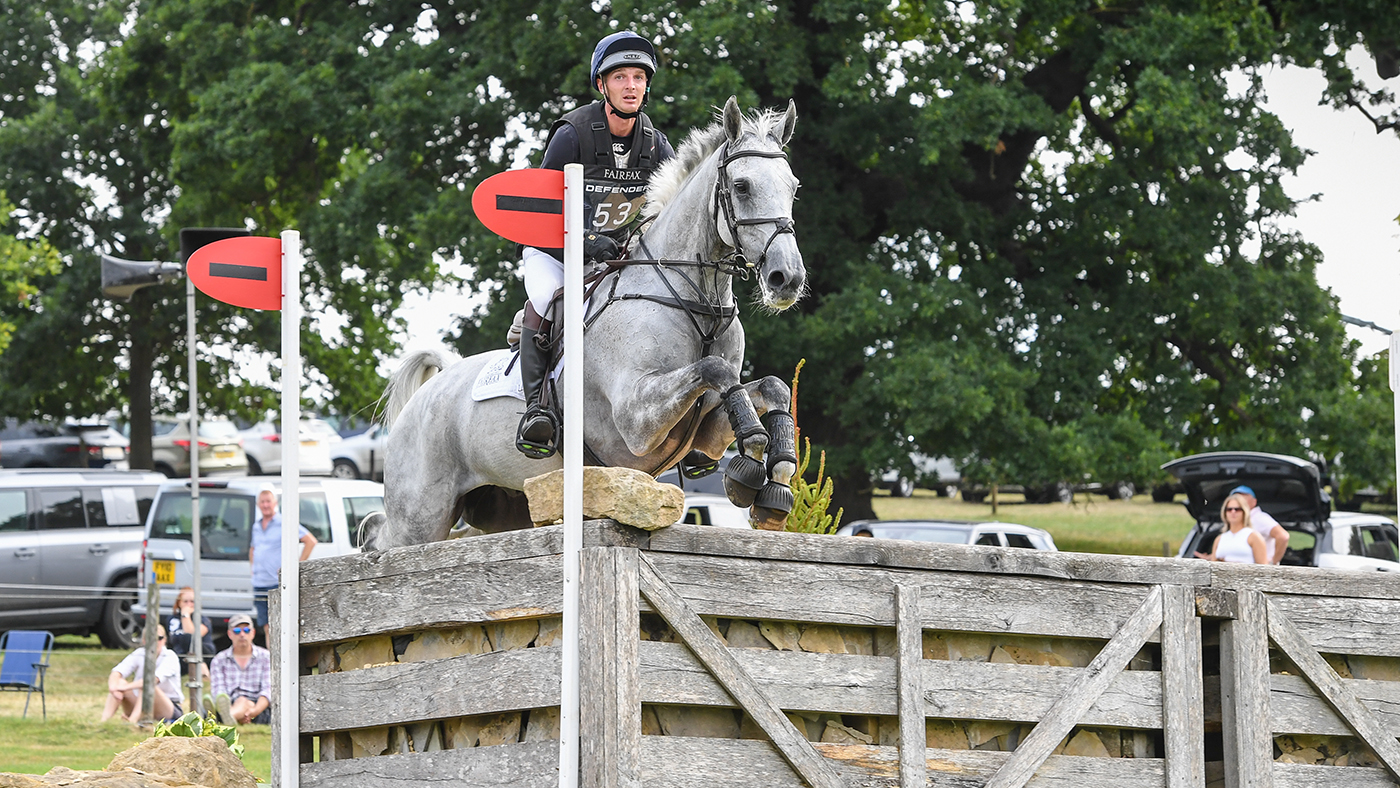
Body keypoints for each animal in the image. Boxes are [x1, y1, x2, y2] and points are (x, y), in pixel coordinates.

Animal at [363, 96, 805, 550]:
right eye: (742, 187)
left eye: (793, 187)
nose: (786, 279)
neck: (696, 302)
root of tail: (426, 394)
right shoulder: (635, 420)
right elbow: (714, 368)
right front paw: (753, 460)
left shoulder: (702, 427)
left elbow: (770, 386)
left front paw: (776, 479)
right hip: (419, 516)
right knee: (382, 537)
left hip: (503, 510)